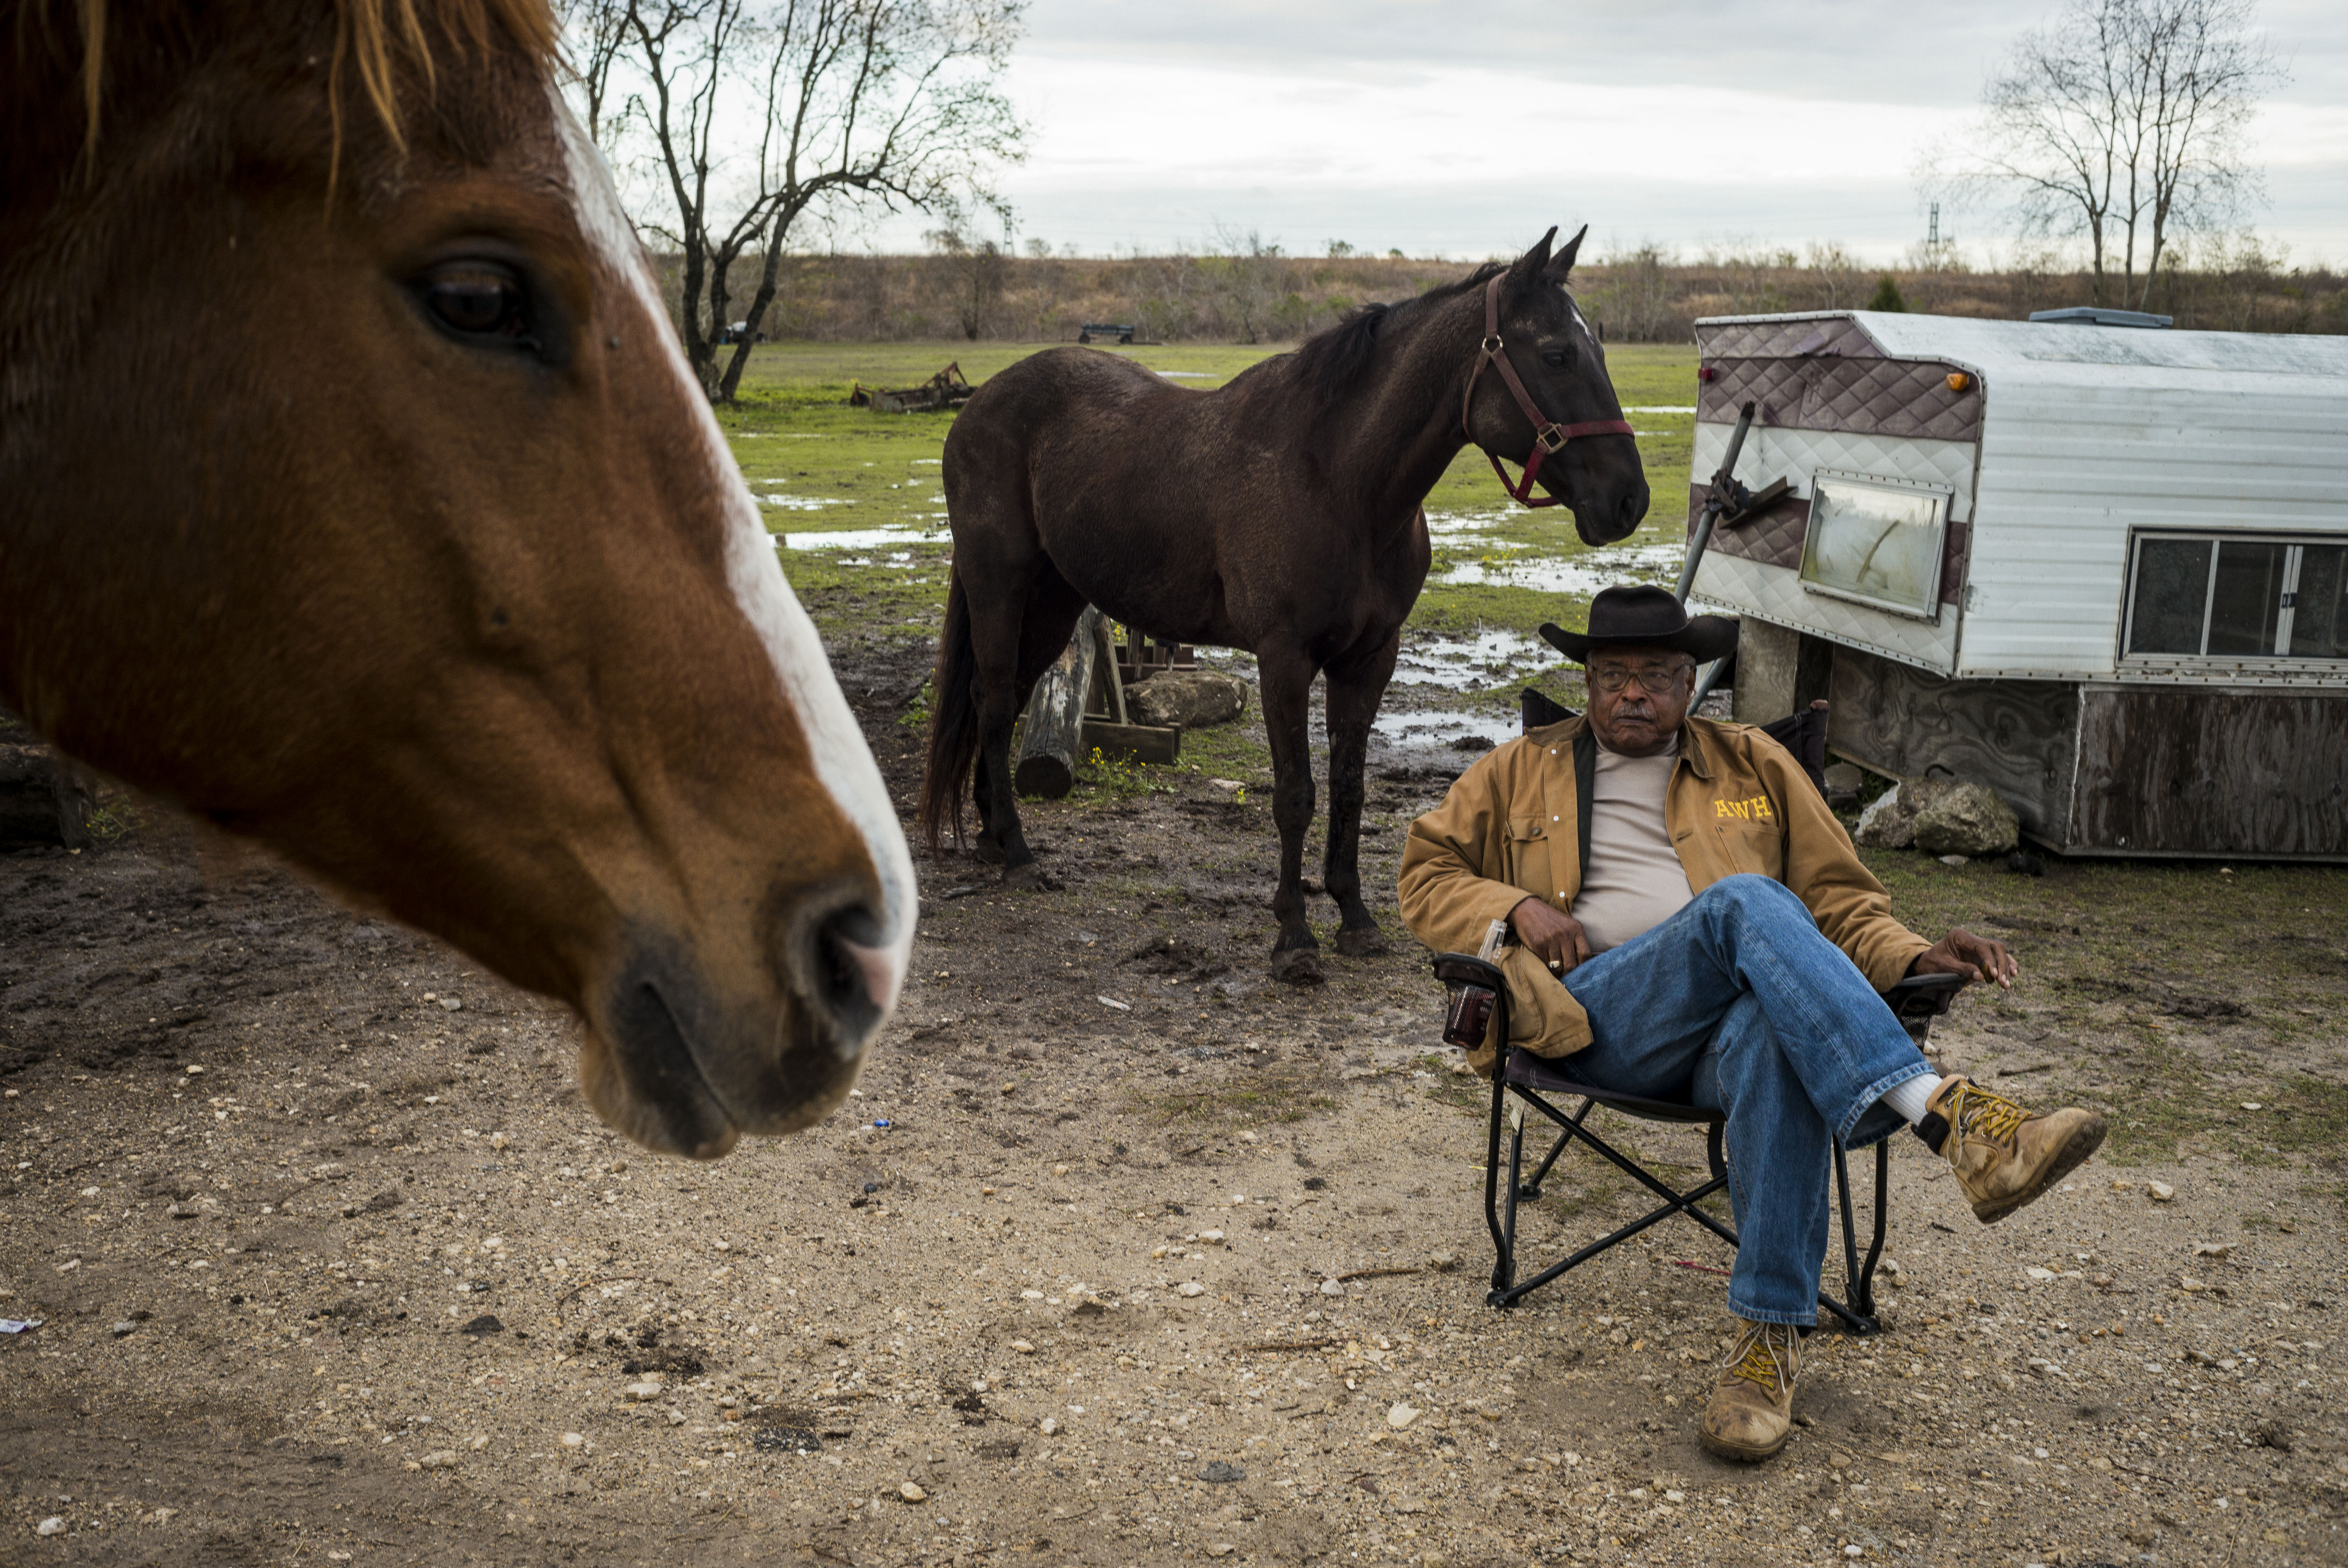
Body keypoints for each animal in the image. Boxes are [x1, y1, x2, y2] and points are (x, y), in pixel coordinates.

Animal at [920, 227, 1653, 972]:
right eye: (1556, 354)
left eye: (1596, 350)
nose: (1629, 500)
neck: (1337, 481)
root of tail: (982, 402)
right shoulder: (1284, 658)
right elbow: (1296, 794)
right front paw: (1295, 936)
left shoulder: (1370, 659)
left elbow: (1350, 784)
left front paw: (1354, 916)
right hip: (1000, 585)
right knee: (991, 701)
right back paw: (1016, 852)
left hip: (1053, 602)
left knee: (1006, 698)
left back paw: (993, 835)